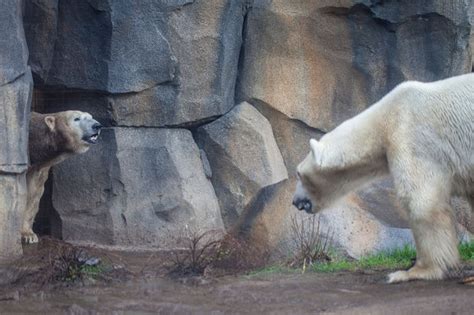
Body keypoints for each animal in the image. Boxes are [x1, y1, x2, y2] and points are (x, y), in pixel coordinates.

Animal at [22, 111, 102, 244]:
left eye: (91, 117)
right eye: (76, 118)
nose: (97, 126)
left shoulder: (38, 168)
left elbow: (33, 194)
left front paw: (29, 235)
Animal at [292, 73, 474, 284]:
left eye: (299, 173)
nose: (295, 201)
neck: (386, 118)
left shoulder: (413, 138)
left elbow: (421, 202)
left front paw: (412, 271)